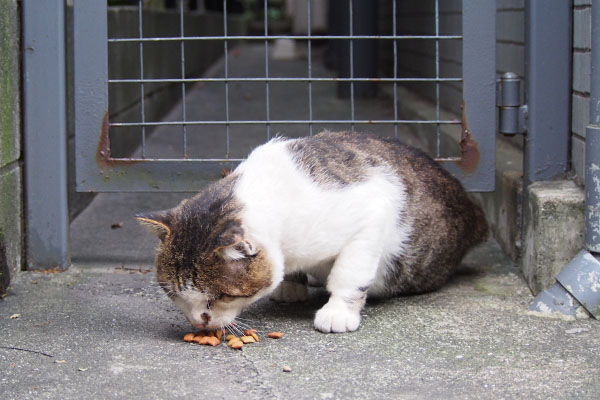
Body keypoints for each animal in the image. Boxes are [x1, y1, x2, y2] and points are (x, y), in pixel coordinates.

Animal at [138, 130, 490, 332]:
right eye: (173, 294)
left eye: (221, 297)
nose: (199, 321)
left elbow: (349, 274)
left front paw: (338, 312)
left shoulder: (375, 207)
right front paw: (291, 285)